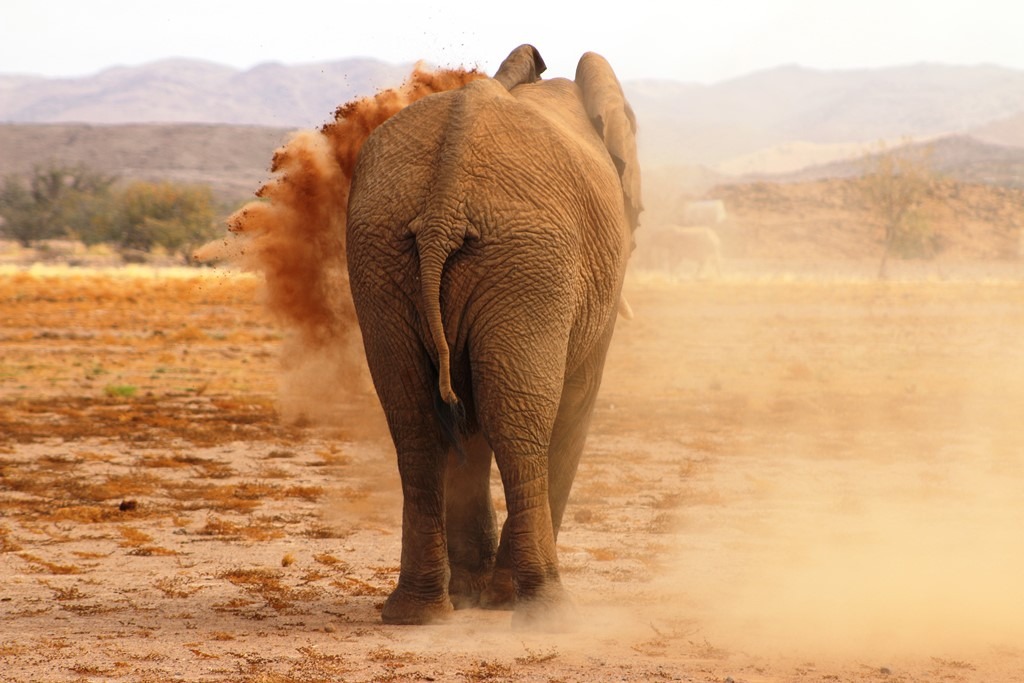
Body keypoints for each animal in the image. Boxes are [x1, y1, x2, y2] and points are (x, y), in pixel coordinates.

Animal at [348, 42, 643, 630]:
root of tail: (446, 193)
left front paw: (472, 595)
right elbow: (575, 402)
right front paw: (490, 596)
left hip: (382, 253)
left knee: (416, 424)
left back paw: (419, 613)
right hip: (530, 261)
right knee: (518, 421)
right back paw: (543, 609)